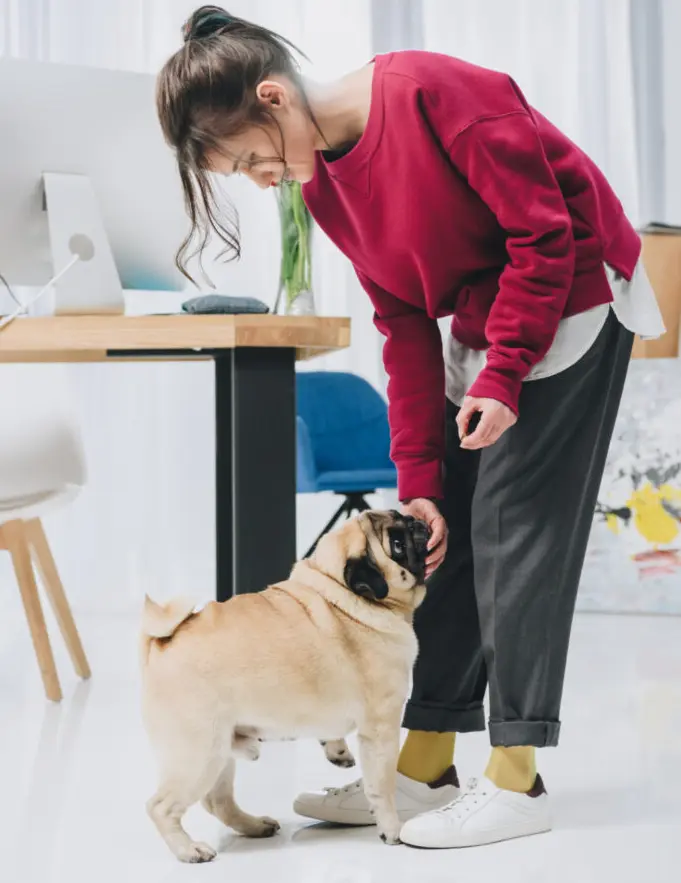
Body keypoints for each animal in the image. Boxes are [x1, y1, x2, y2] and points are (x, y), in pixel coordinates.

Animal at [140, 512, 428, 864]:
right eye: (397, 545)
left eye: (403, 518)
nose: (417, 521)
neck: (339, 593)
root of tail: (161, 641)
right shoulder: (381, 727)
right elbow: (382, 787)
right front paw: (391, 829)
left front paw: (336, 750)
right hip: (198, 755)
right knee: (161, 807)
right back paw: (188, 850)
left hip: (219, 751)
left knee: (218, 802)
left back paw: (253, 826)